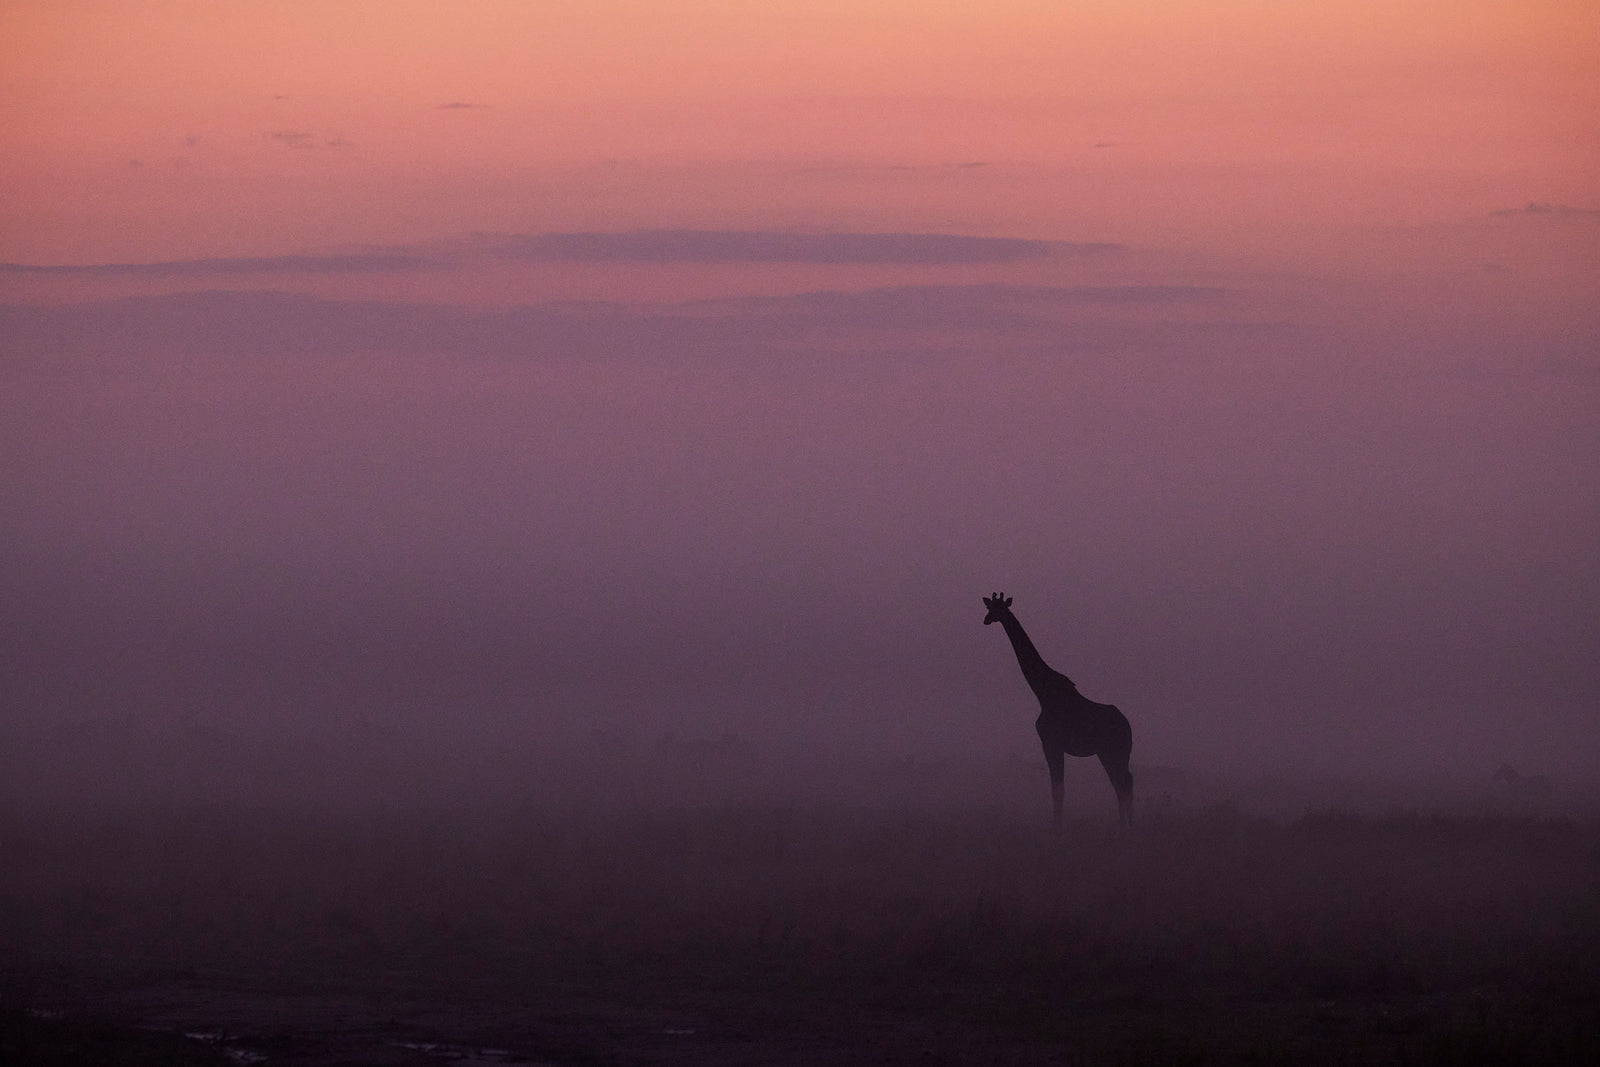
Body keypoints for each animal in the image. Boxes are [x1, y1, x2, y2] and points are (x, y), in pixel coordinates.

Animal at [982, 593, 1134, 828]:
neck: (1042, 692)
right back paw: (1125, 824)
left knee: (1124, 782)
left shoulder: (1051, 743)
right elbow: (1058, 789)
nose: (987, 620)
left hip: (1116, 750)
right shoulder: (1054, 745)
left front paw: (1057, 827)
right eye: (989, 607)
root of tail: (1128, 726)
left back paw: (1128, 824)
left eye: (1000, 608)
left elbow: (1057, 790)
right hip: (1109, 752)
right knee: (1122, 782)